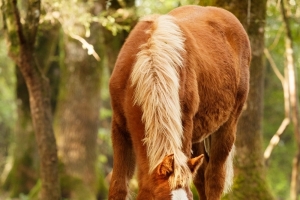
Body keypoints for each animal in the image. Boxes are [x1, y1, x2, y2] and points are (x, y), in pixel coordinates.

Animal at [109, 4, 250, 200]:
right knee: (202, 178)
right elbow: (118, 187)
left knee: (214, 178)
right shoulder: (119, 126)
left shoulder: (185, 124)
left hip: (227, 125)